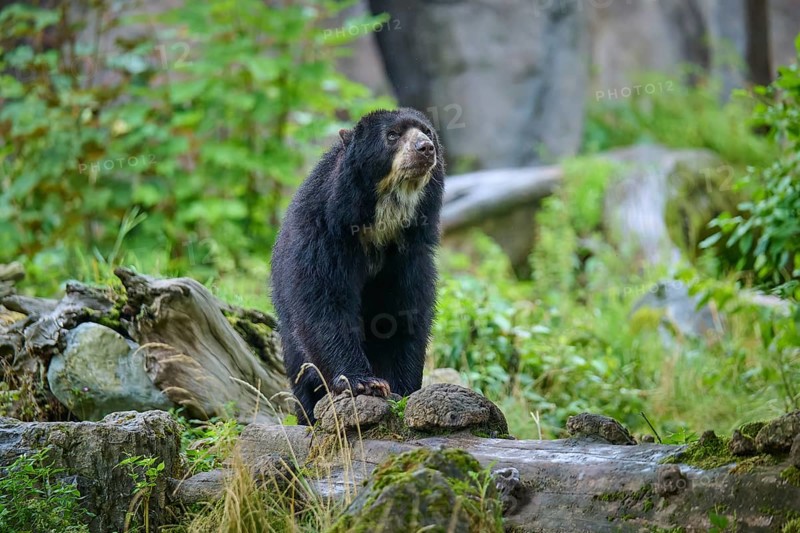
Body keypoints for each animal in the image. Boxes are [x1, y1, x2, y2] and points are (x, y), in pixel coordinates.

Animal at [270, 108, 444, 424]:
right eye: (392, 135)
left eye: (427, 132)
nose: (425, 149)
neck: (381, 220)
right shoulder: (323, 238)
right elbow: (324, 304)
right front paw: (364, 382)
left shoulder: (410, 255)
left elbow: (405, 313)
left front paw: (401, 388)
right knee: (302, 373)